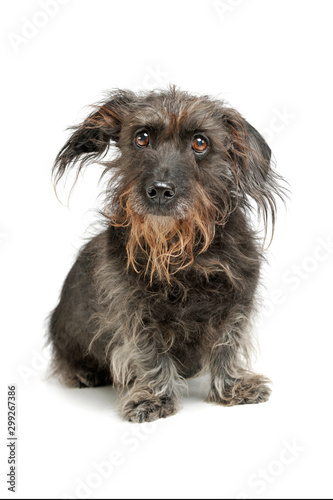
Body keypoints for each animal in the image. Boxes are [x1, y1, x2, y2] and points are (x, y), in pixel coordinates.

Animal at [48, 86, 284, 422]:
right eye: (142, 137)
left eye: (200, 142)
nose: (159, 190)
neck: (180, 249)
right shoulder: (133, 311)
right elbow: (149, 354)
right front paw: (154, 398)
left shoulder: (238, 301)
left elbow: (228, 344)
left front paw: (232, 388)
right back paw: (83, 373)